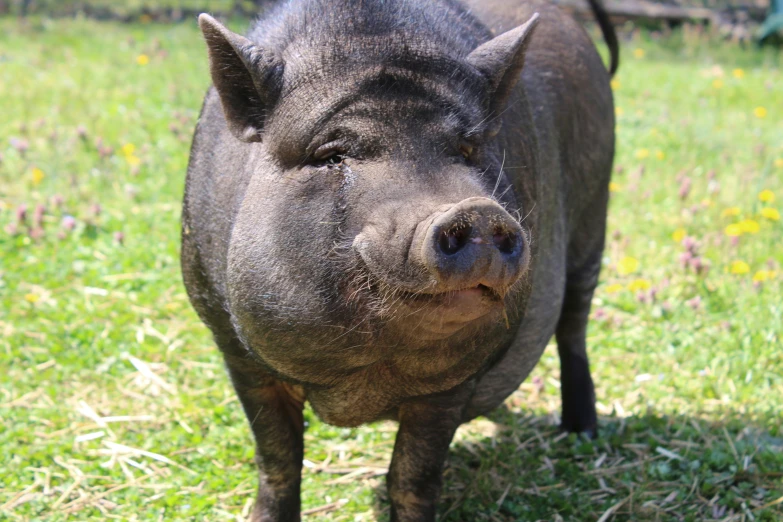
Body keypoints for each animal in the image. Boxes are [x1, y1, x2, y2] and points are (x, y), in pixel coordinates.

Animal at [184, 1, 620, 516]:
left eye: (467, 150)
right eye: (333, 154)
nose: (477, 211)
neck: (363, 383)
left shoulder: (450, 386)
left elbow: (412, 477)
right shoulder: (234, 348)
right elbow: (277, 460)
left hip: (594, 216)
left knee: (574, 328)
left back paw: (582, 432)